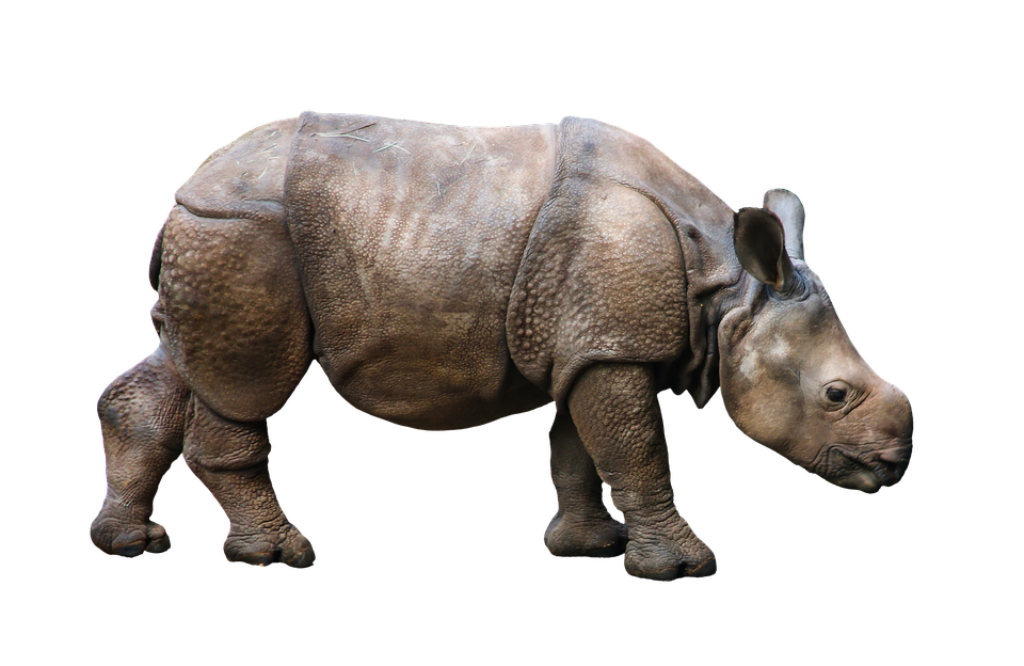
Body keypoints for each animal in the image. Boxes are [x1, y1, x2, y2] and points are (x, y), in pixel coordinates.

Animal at [88, 109, 914, 580]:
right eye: (836, 395)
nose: (894, 469)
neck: (729, 294)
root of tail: (186, 188)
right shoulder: (611, 342)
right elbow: (636, 446)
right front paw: (682, 568)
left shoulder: (586, 342)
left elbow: (581, 447)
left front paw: (586, 547)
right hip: (245, 233)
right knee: (246, 384)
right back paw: (277, 556)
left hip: (214, 238)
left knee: (178, 367)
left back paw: (131, 543)